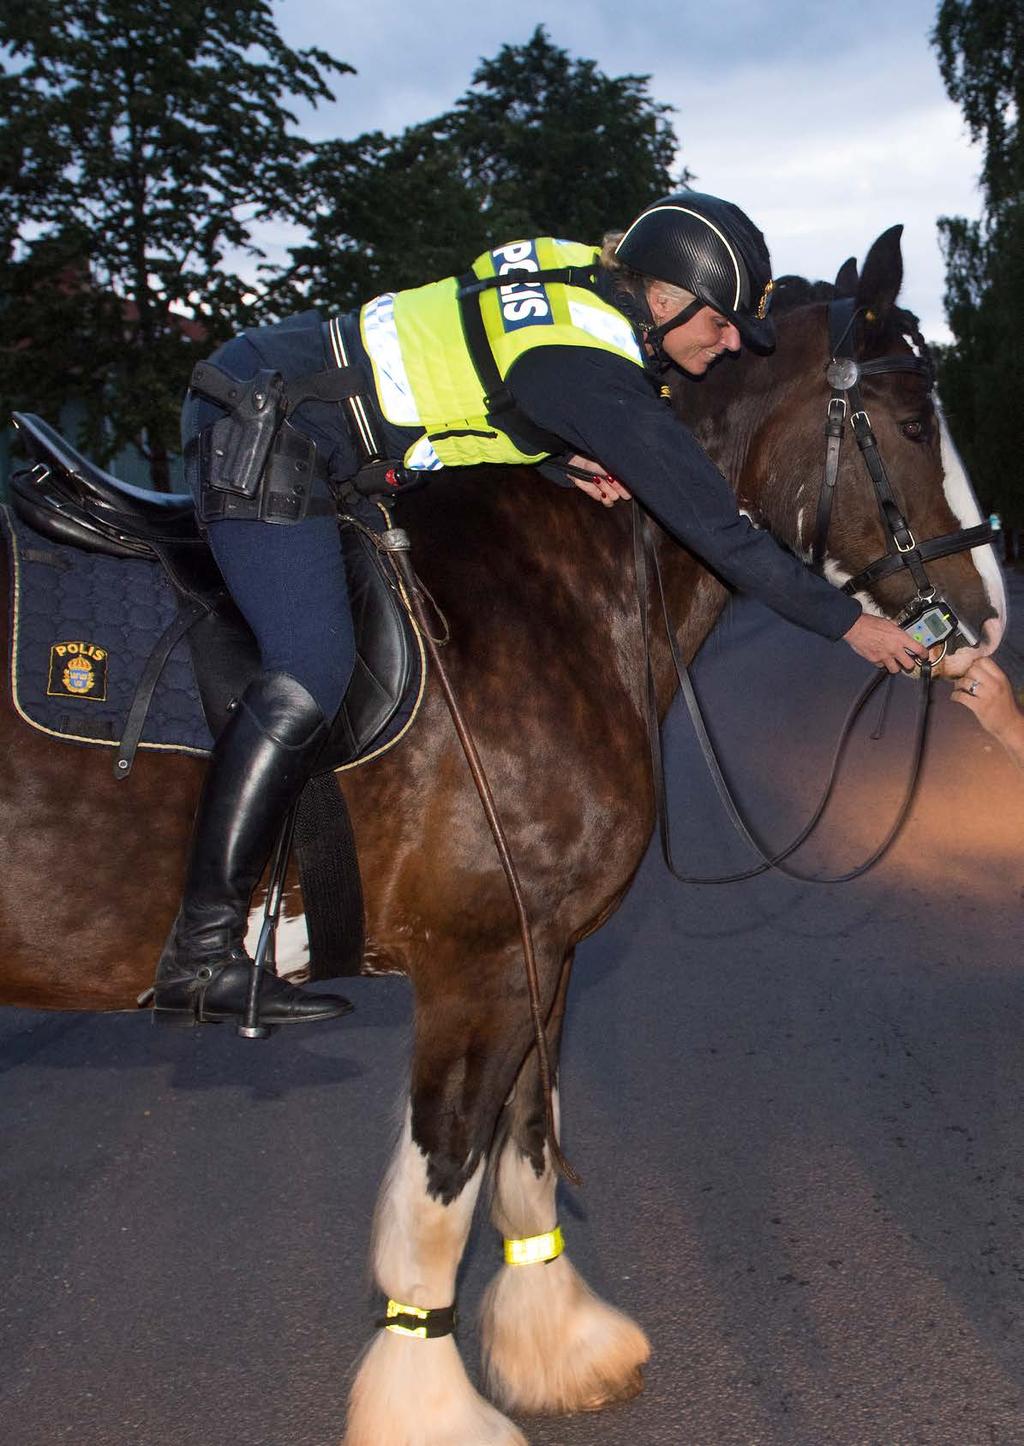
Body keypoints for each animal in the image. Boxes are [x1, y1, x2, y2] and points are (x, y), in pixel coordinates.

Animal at [0, 228, 1006, 1446]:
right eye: (908, 423)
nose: (987, 622)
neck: (561, 597)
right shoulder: (476, 968)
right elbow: (437, 1199)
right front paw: (429, 1407)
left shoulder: (543, 956)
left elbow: (524, 1149)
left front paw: (560, 1345)